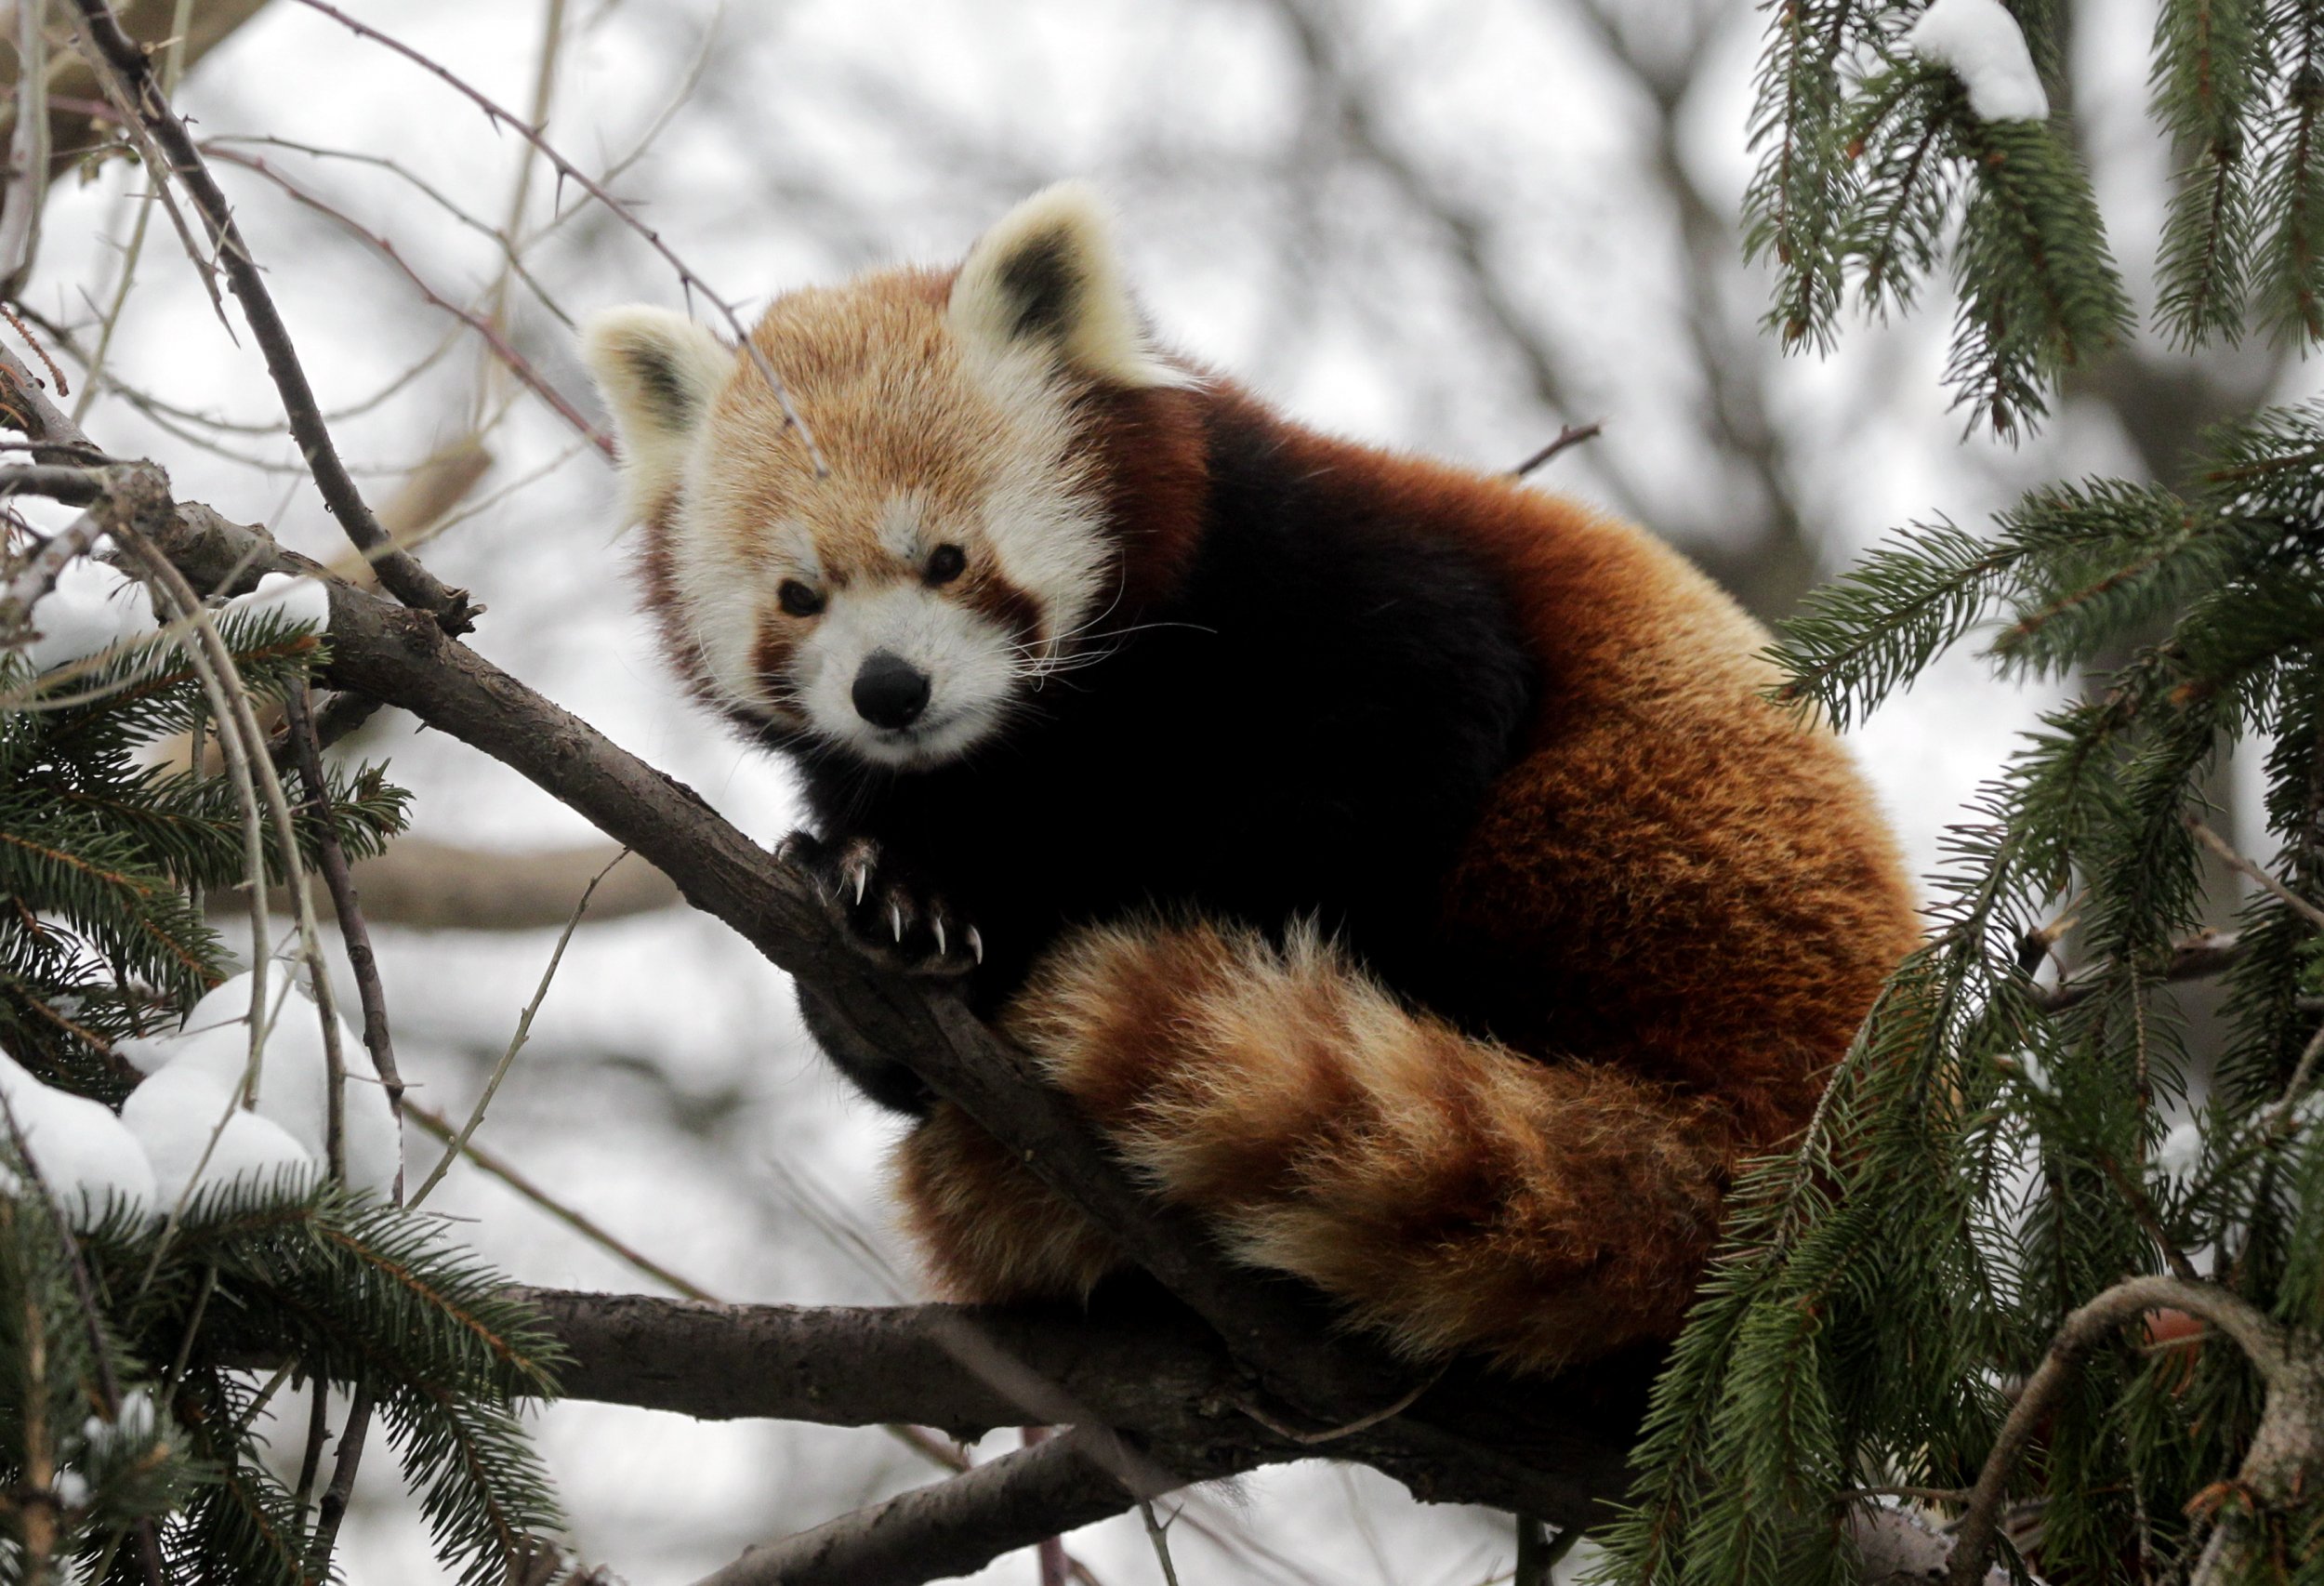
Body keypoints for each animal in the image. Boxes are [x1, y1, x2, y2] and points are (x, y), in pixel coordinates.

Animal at [586, 182, 1924, 1367]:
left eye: (949, 558)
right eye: (799, 595)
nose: (889, 689)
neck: (1042, 745)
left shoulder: (1317, 569)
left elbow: (1398, 740)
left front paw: (1083, 935)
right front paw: (887, 906)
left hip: (1659, 855)